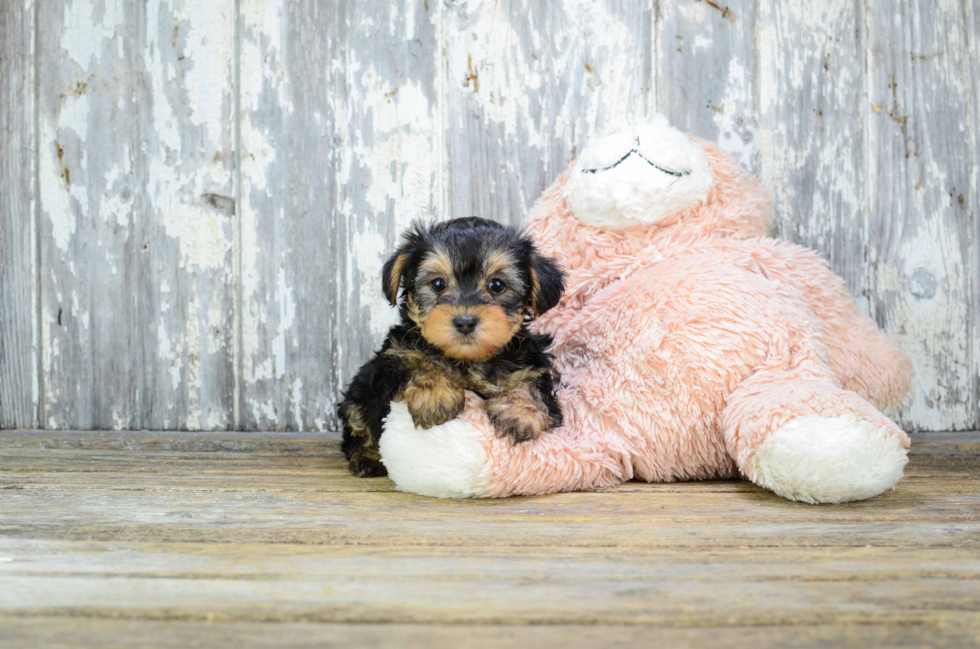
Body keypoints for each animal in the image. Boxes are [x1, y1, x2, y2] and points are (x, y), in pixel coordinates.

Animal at [338, 218, 564, 476]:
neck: (467, 359)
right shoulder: (395, 357)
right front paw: (434, 394)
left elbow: (530, 383)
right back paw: (367, 457)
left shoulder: (531, 360)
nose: (465, 321)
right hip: (360, 391)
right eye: (438, 284)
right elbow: (418, 362)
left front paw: (520, 412)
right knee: (357, 425)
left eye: (497, 285)